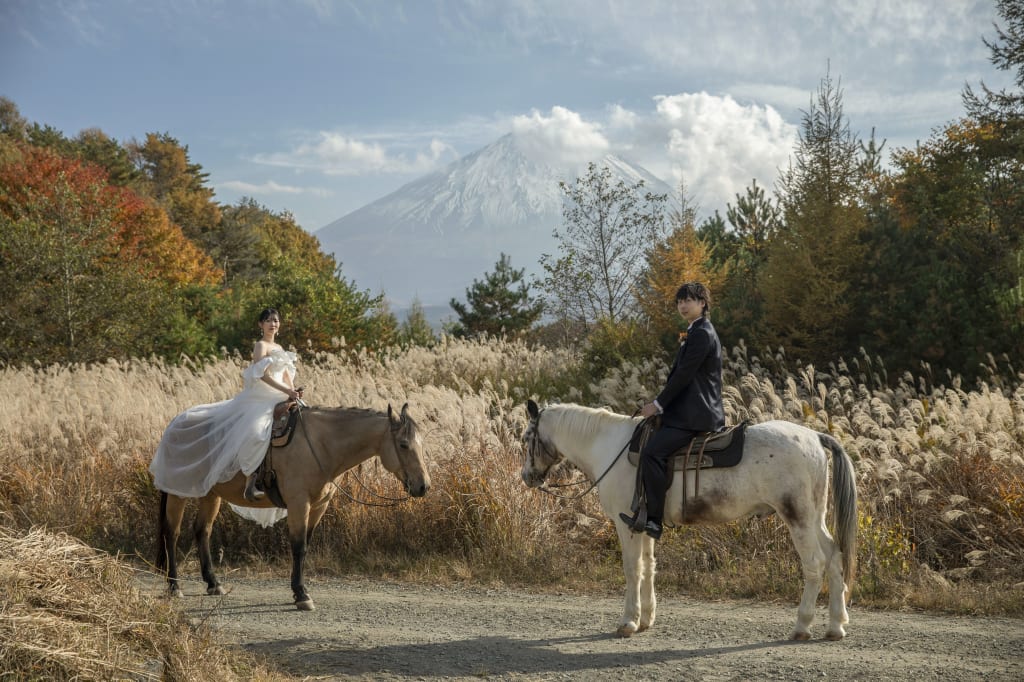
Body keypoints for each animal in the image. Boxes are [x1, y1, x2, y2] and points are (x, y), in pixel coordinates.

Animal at [153, 401, 430, 606]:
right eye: (403, 444)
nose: (424, 486)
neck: (320, 445)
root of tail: (175, 424)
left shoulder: (318, 506)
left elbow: (305, 543)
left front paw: (299, 590)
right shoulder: (299, 504)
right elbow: (298, 547)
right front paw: (301, 594)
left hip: (211, 494)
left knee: (203, 531)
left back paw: (213, 583)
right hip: (177, 492)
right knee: (171, 533)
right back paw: (174, 585)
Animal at [520, 399, 856, 638]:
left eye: (526, 438)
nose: (526, 477)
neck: (610, 446)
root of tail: (814, 436)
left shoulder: (625, 525)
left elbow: (632, 569)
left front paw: (629, 621)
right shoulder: (643, 523)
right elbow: (649, 567)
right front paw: (647, 618)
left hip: (798, 518)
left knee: (815, 564)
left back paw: (802, 626)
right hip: (815, 517)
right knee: (835, 556)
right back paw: (835, 625)